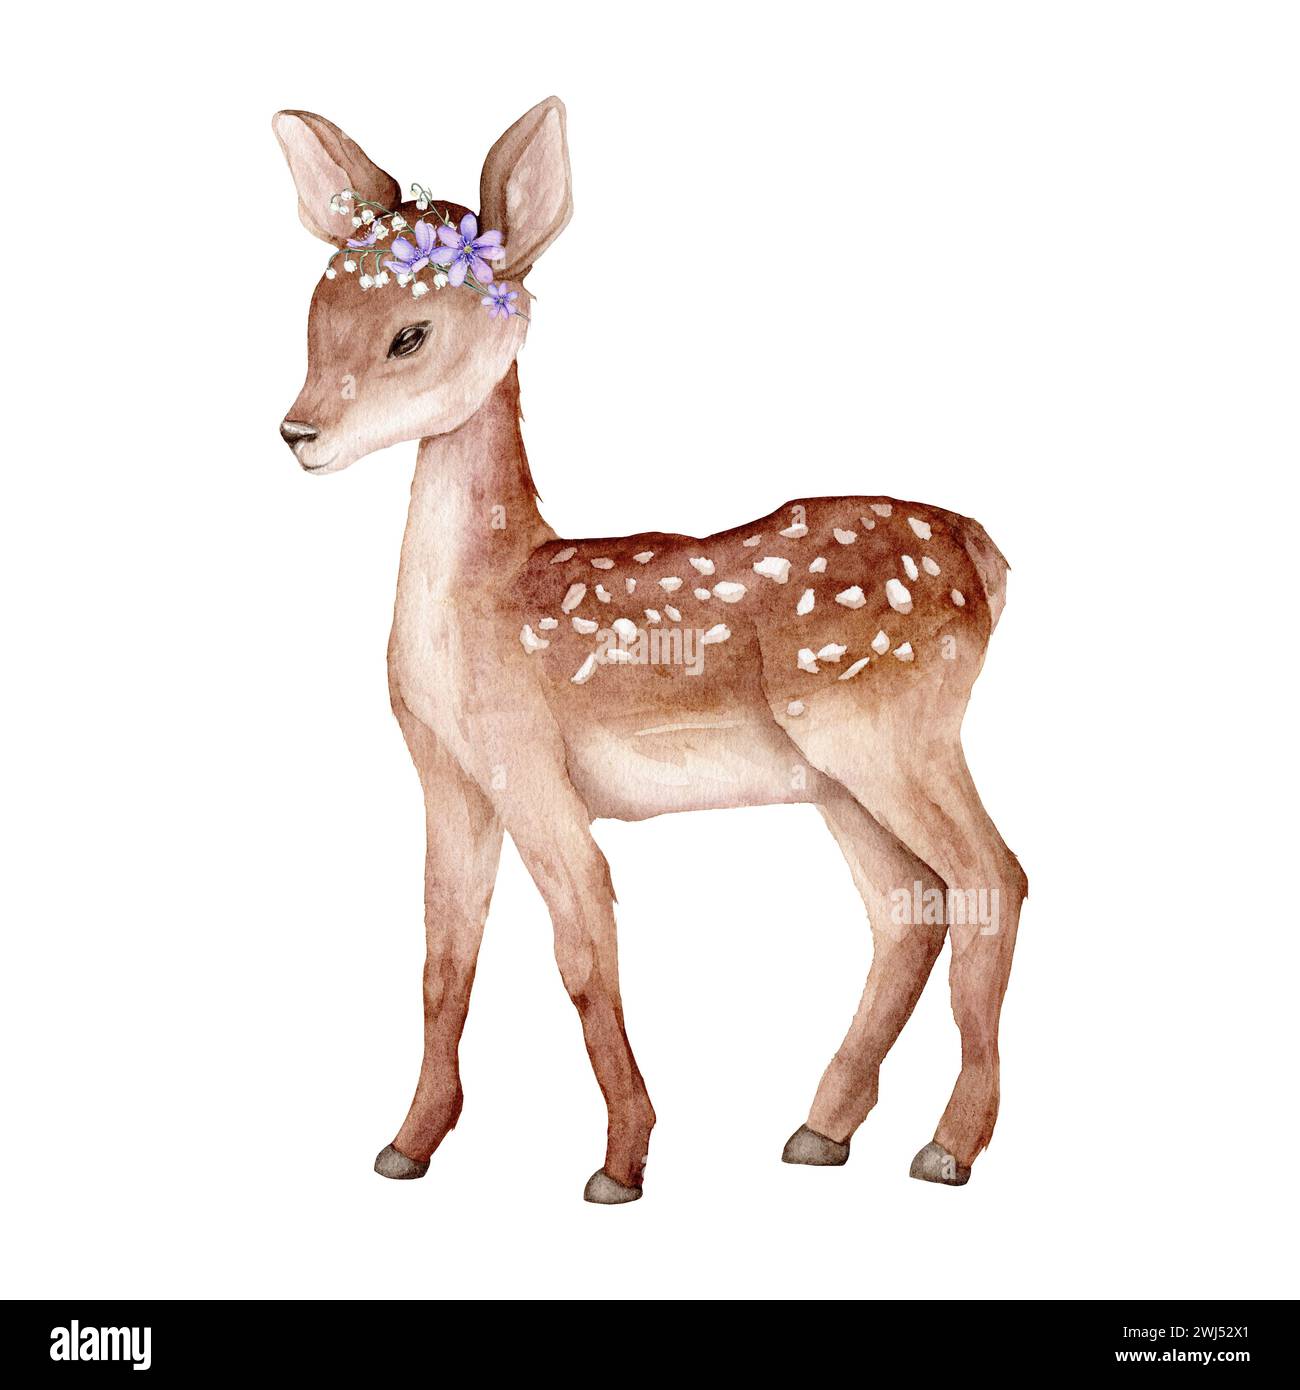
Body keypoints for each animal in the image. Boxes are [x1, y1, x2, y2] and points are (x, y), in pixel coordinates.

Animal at [273, 97, 1027, 1203]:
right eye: (314, 310)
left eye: (410, 334)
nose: (299, 432)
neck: (486, 599)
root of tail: (986, 555)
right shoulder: (450, 779)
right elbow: (442, 963)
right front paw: (406, 1144)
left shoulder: (530, 763)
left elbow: (586, 949)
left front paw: (621, 1163)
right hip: (837, 775)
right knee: (911, 907)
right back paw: (821, 1130)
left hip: (894, 731)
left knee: (993, 878)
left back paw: (947, 1148)